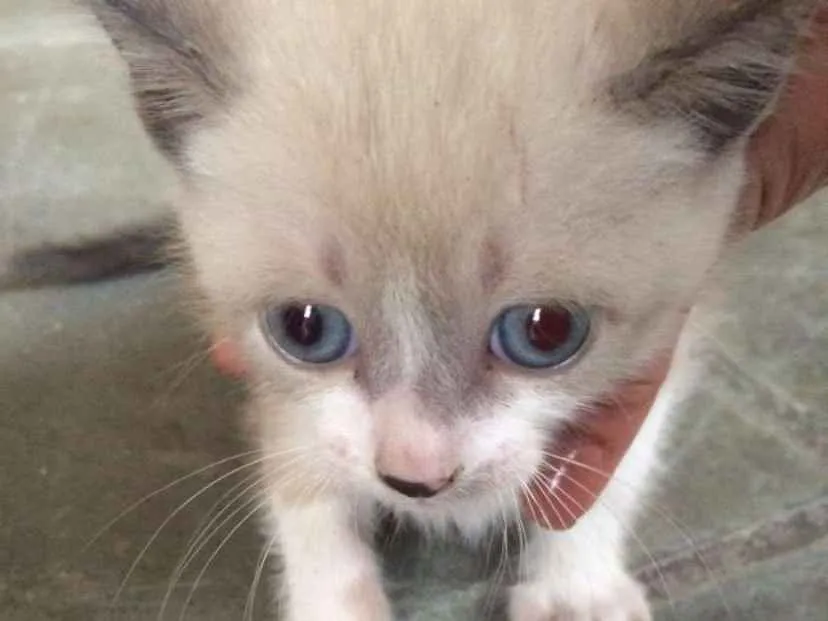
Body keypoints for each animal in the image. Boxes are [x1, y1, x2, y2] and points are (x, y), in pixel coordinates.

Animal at [43, 1, 815, 619]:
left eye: (546, 332)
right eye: (305, 328)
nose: (414, 476)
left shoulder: (671, 331)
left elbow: (613, 467)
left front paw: (576, 589)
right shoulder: (280, 391)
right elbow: (307, 497)